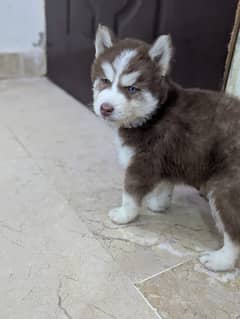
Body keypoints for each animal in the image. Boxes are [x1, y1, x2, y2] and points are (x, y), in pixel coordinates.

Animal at [90, 25, 240, 272]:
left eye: (132, 88)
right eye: (104, 80)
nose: (105, 108)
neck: (153, 114)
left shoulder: (144, 163)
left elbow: (130, 193)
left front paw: (124, 214)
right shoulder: (167, 159)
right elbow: (165, 185)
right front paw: (158, 204)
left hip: (224, 188)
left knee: (234, 231)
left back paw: (220, 261)